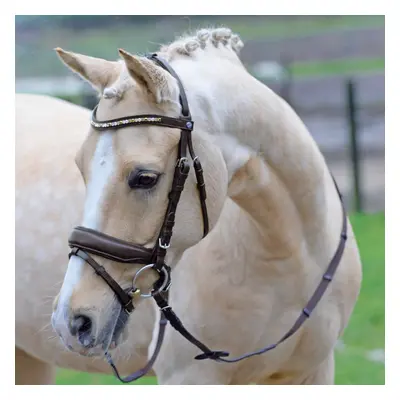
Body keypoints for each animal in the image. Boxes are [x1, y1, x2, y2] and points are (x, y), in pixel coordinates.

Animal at [51, 28, 360, 384]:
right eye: (81, 167)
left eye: (145, 178)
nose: (72, 321)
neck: (290, 255)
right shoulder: (190, 376)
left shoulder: (314, 370)